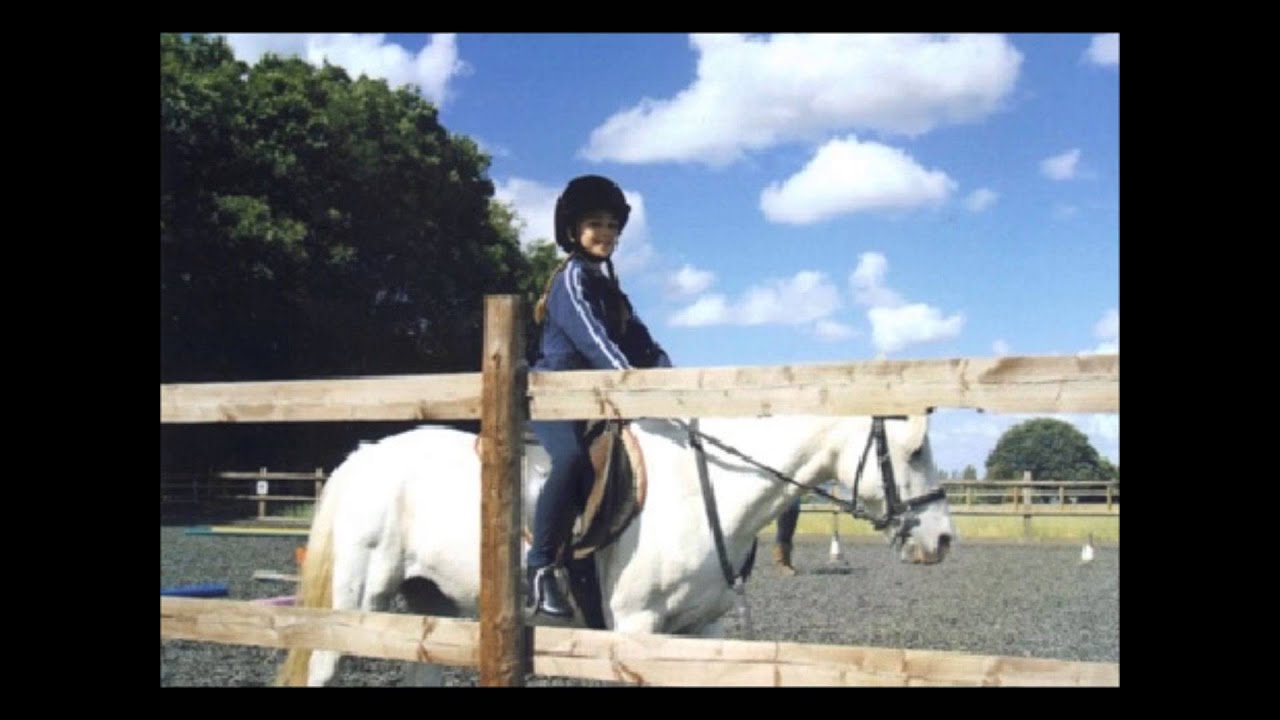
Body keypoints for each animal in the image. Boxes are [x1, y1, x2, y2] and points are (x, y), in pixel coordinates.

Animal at [277, 413, 955, 686]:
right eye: (917, 450)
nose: (943, 538)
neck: (707, 489)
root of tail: (363, 457)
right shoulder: (637, 627)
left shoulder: (701, 631)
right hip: (357, 604)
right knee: (323, 668)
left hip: (430, 608)